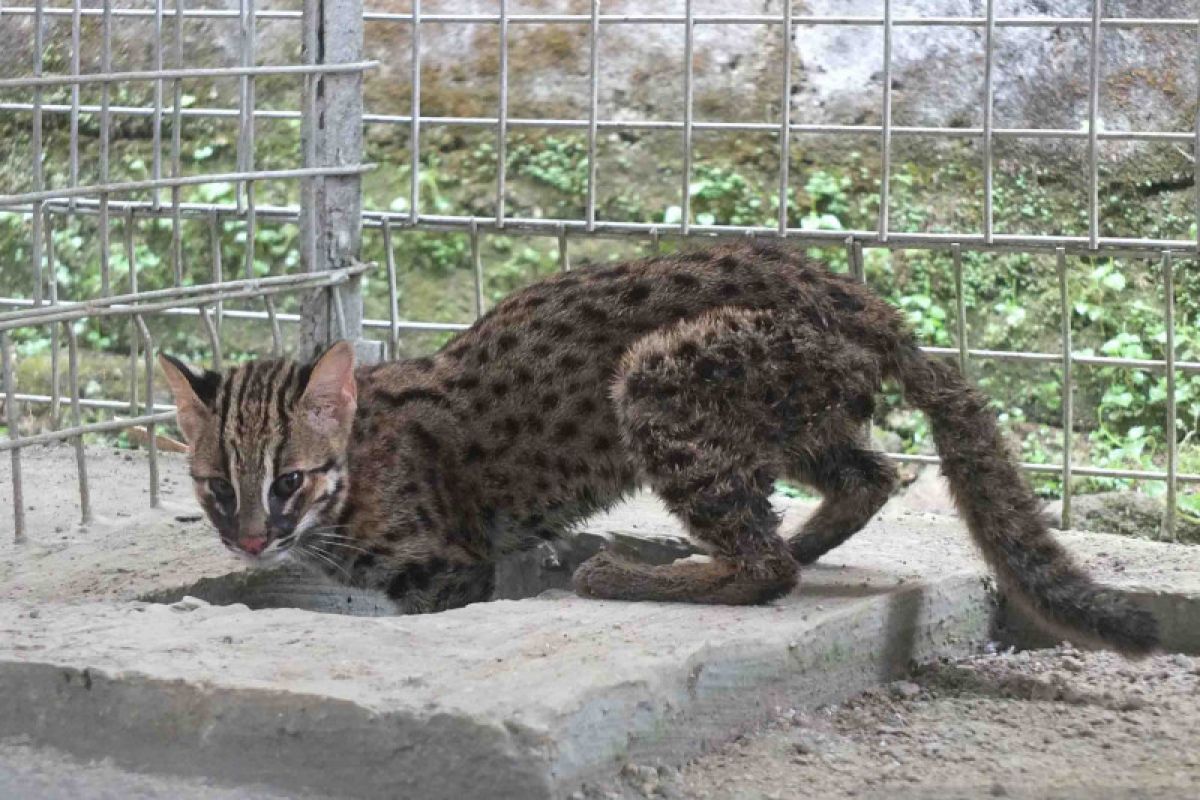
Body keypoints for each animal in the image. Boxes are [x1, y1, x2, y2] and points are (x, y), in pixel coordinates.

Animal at [159, 244, 1161, 657]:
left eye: (288, 481)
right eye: (215, 488)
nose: (248, 542)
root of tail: (874, 309)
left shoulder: (448, 566)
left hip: (659, 376)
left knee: (764, 567)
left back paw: (638, 572)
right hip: (790, 414)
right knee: (867, 476)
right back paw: (778, 542)